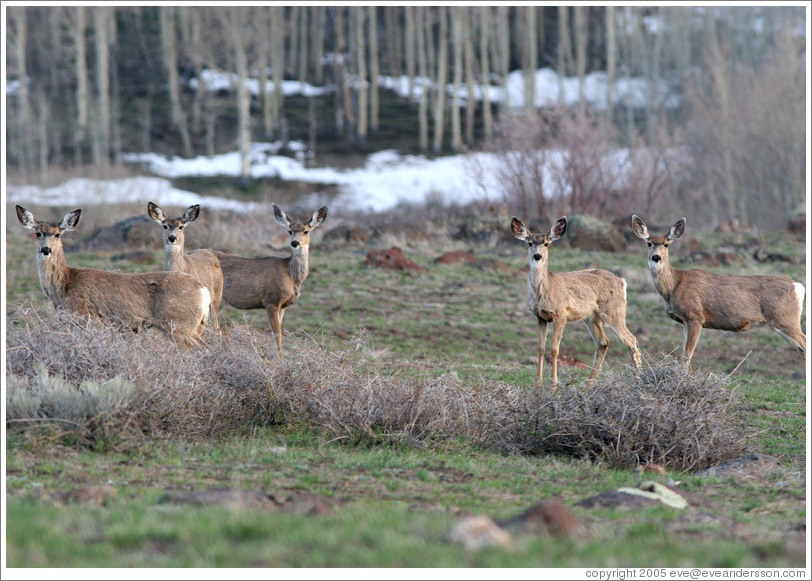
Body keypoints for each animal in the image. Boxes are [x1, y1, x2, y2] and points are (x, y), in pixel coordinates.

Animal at [17, 205, 213, 344]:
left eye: (57, 234)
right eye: (38, 233)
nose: (46, 249)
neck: (64, 287)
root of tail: (203, 291)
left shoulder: (89, 318)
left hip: (179, 326)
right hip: (196, 326)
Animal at [216, 204, 330, 358]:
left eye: (306, 231)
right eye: (290, 231)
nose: (295, 243)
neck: (291, 276)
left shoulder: (284, 306)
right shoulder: (271, 300)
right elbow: (277, 334)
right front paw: (279, 361)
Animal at [512, 214, 640, 390]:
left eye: (546, 243)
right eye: (530, 243)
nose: (537, 256)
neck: (544, 289)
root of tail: (622, 281)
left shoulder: (560, 315)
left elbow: (554, 349)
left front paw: (553, 384)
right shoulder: (540, 317)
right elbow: (540, 348)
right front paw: (538, 384)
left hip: (613, 311)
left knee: (631, 340)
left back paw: (639, 379)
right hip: (591, 318)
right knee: (603, 342)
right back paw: (588, 387)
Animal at [632, 215, 804, 364]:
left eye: (666, 244)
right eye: (649, 243)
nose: (656, 257)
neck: (674, 285)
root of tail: (798, 286)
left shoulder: (695, 316)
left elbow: (687, 356)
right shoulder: (685, 321)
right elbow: (683, 354)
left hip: (784, 318)